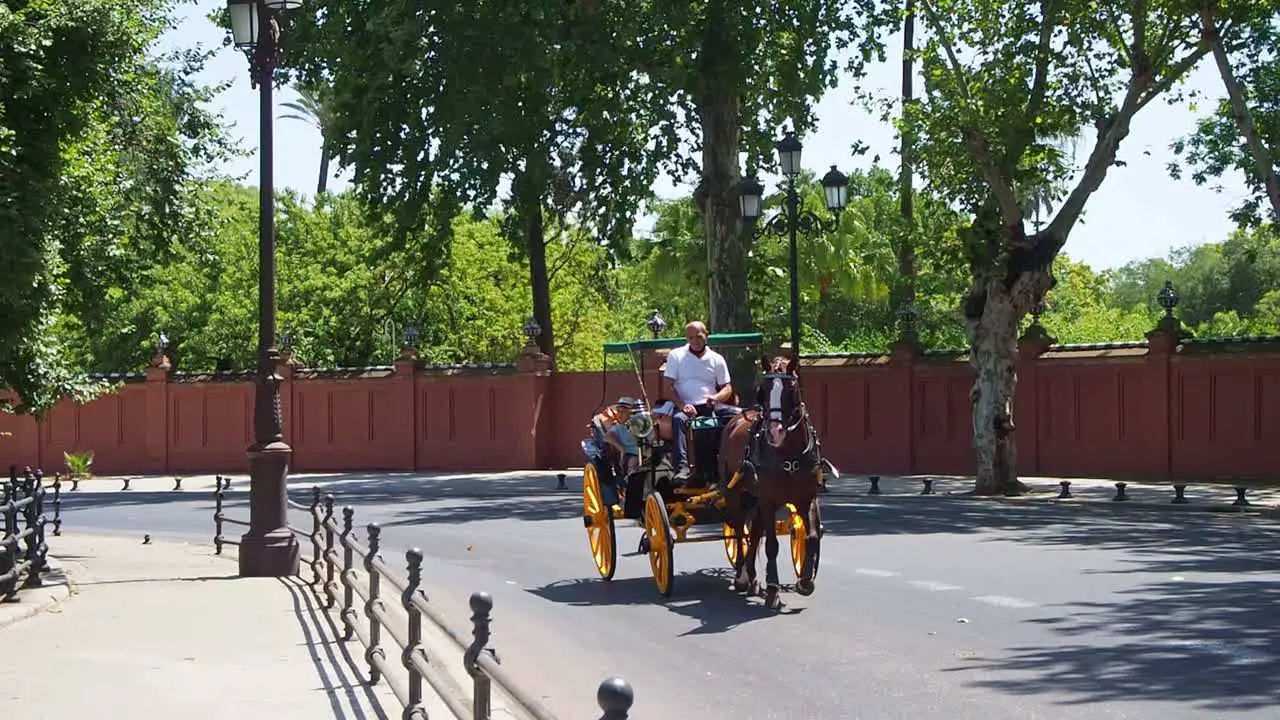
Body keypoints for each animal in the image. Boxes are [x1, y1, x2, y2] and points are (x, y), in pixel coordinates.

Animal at [721, 353, 819, 604]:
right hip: (736, 493)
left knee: (754, 532)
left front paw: (805, 582)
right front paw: (773, 588)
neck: (789, 455)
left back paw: (753, 578)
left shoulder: (806, 498)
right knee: (739, 530)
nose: (775, 432)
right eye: (763, 390)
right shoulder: (769, 498)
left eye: (792, 388)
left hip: (755, 496)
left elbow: (812, 537)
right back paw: (741, 576)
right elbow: (772, 545)